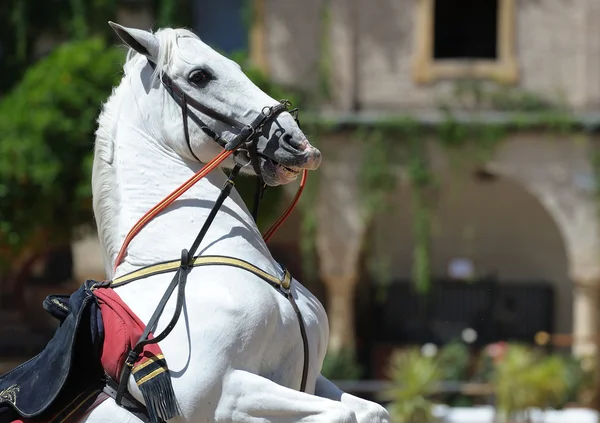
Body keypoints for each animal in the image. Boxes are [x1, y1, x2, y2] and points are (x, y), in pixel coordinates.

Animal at [82, 23, 392, 423]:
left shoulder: (312, 380)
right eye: (200, 76)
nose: (298, 144)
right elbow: (342, 415)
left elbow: (370, 410)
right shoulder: (227, 395)